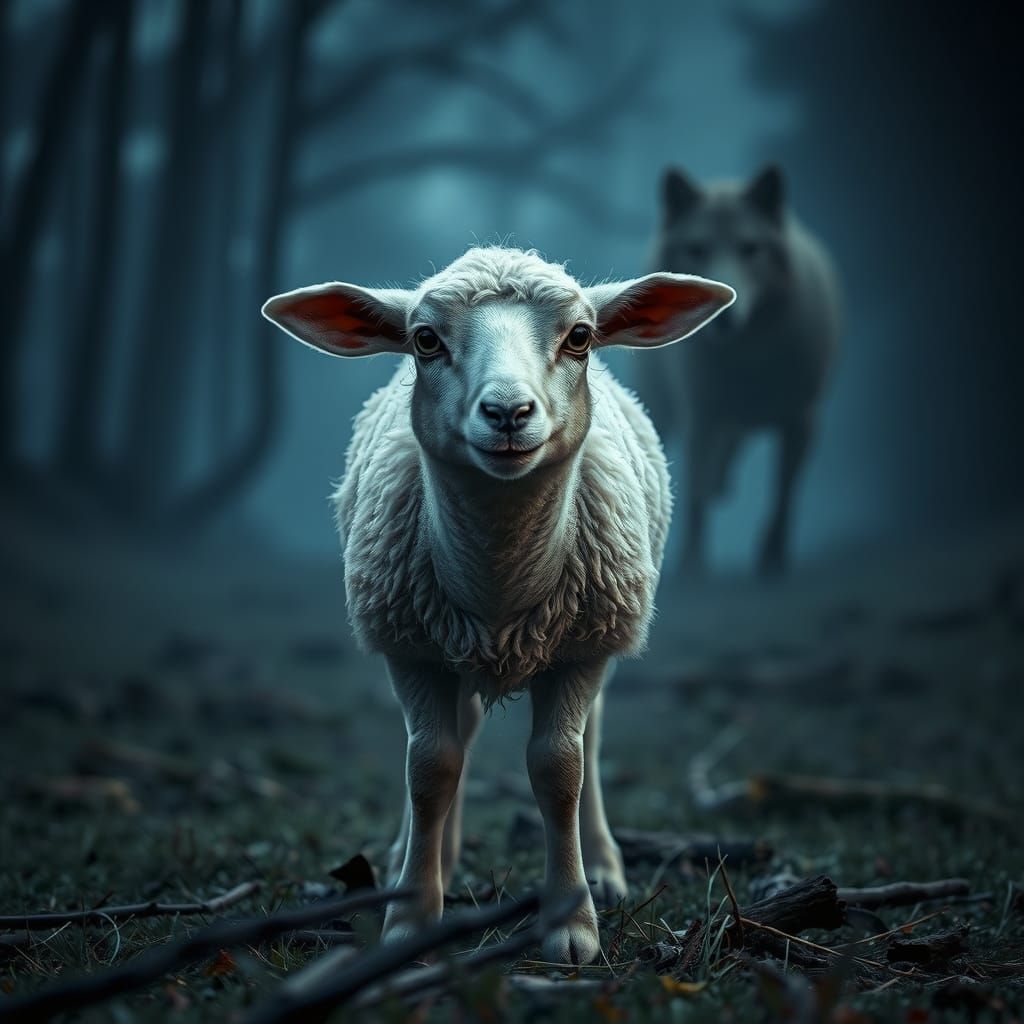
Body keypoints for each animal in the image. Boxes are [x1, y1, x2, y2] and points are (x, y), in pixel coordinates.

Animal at [262, 246, 734, 965]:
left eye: (580, 337)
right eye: (425, 340)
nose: (508, 412)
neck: (499, 580)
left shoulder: (581, 651)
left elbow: (559, 768)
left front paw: (572, 922)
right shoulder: (411, 650)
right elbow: (430, 767)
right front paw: (411, 917)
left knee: (589, 736)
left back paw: (603, 864)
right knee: (456, 737)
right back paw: (424, 856)